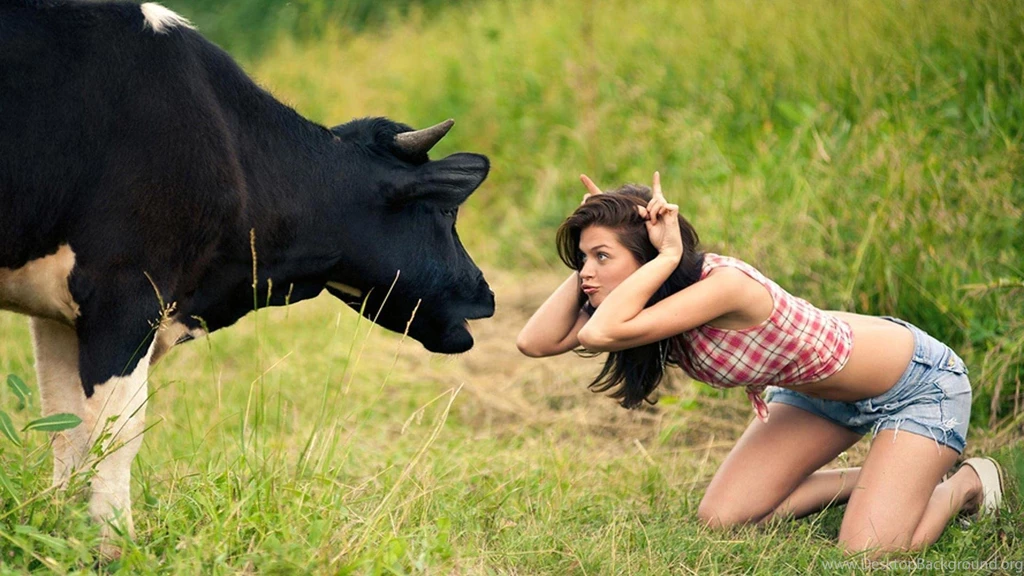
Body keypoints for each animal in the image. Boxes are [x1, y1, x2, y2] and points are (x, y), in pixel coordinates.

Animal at [0, 0, 495, 553]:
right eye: (446, 212)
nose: (485, 292)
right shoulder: (124, 293)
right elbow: (116, 433)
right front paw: (114, 546)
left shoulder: (59, 312)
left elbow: (65, 427)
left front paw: (63, 535)